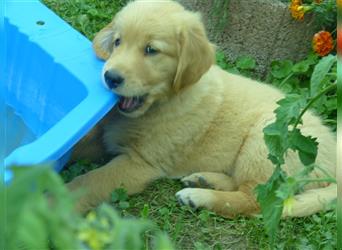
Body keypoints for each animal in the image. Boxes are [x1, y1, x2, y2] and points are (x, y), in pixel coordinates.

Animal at [68, 0, 336, 218]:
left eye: (151, 50)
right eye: (117, 42)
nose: (110, 77)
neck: (161, 105)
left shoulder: (139, 163)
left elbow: (89, 181)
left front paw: (59, 198)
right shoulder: (105, 138)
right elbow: (79, 145)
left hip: (266, 138)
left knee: (256, 200)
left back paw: (199, 196)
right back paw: (205, 180)